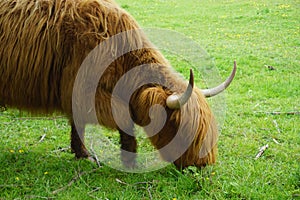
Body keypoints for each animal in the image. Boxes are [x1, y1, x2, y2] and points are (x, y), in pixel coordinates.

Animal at [0, 0, 236, 169]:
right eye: (184, 131)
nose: (203, 165)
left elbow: (79, 124)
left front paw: (82, 154)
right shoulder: (85, 91)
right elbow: (122, 120)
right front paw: (127, 160)